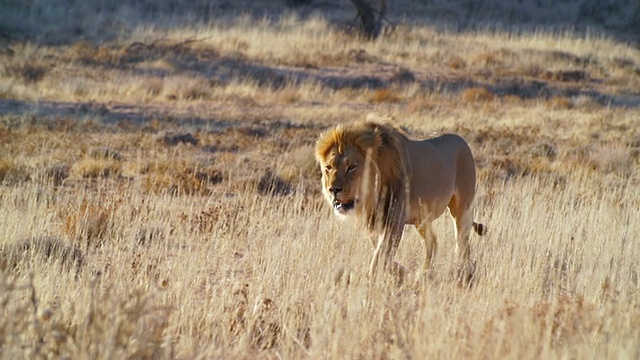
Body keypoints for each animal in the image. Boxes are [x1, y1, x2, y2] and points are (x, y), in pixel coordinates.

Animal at [316, 121, 484, 284]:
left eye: (351, 167)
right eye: (328, 167)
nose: (333, 190)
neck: (371, 197)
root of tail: (461, 140)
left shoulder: (394, 220)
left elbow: (380, 255)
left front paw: (370, 280)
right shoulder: (375, 222)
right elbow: (381, 251)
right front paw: (401, 271)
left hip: (462, 208)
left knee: (462, 243)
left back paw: (464, 272)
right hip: (421, 219)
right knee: (433, 241)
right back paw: (424, 273)